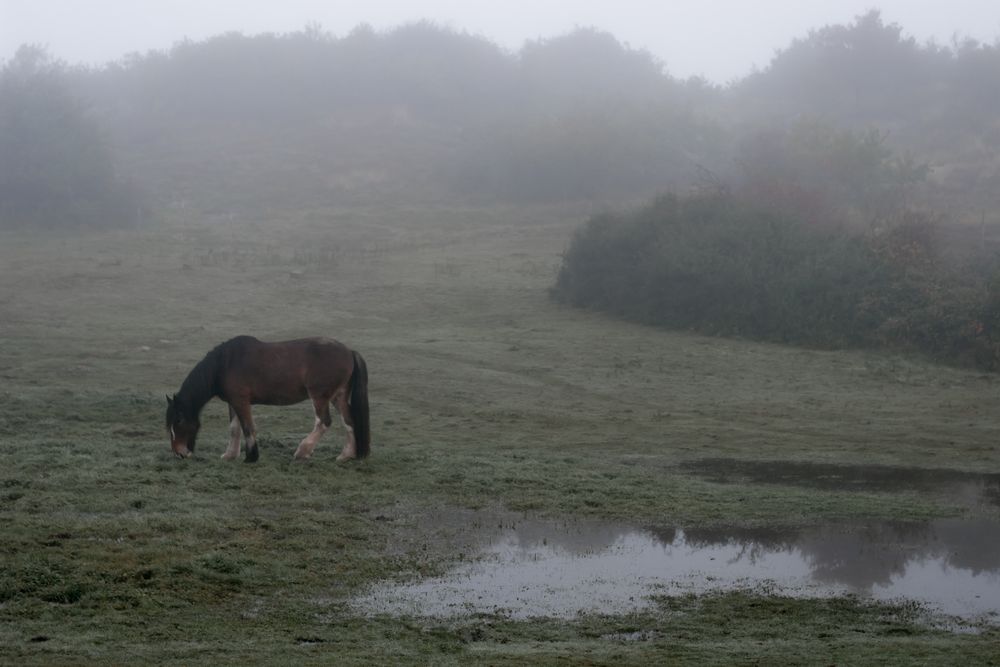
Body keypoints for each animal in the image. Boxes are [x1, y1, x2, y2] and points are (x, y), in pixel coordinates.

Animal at [166, 336, 370, 462]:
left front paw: (251, 456)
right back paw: (347, 455)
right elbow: (234, 428)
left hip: (319, 396)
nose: (179, 453)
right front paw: (230, 455)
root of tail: (349, 351)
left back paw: (302, 451)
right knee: (349, 421)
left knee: (323, 422)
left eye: (179, 420)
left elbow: (248, 427)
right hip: (338, 396)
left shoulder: (241, 401)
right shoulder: (233, 402)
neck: (224, 364)